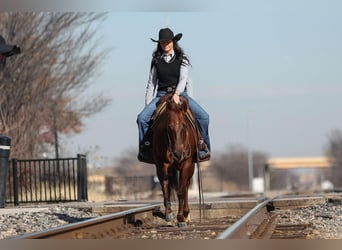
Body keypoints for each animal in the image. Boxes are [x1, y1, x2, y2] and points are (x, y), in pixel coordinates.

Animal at [150, 93, 200, 228]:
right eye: (168, 127)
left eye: (184, 126)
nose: (178, 154)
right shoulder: (162, 163)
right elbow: (165, 186)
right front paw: (169, 215)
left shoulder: (186, 163)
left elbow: (181, 190)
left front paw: (181, 218)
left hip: (189, 167)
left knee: (186, 185)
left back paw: (186, 215)